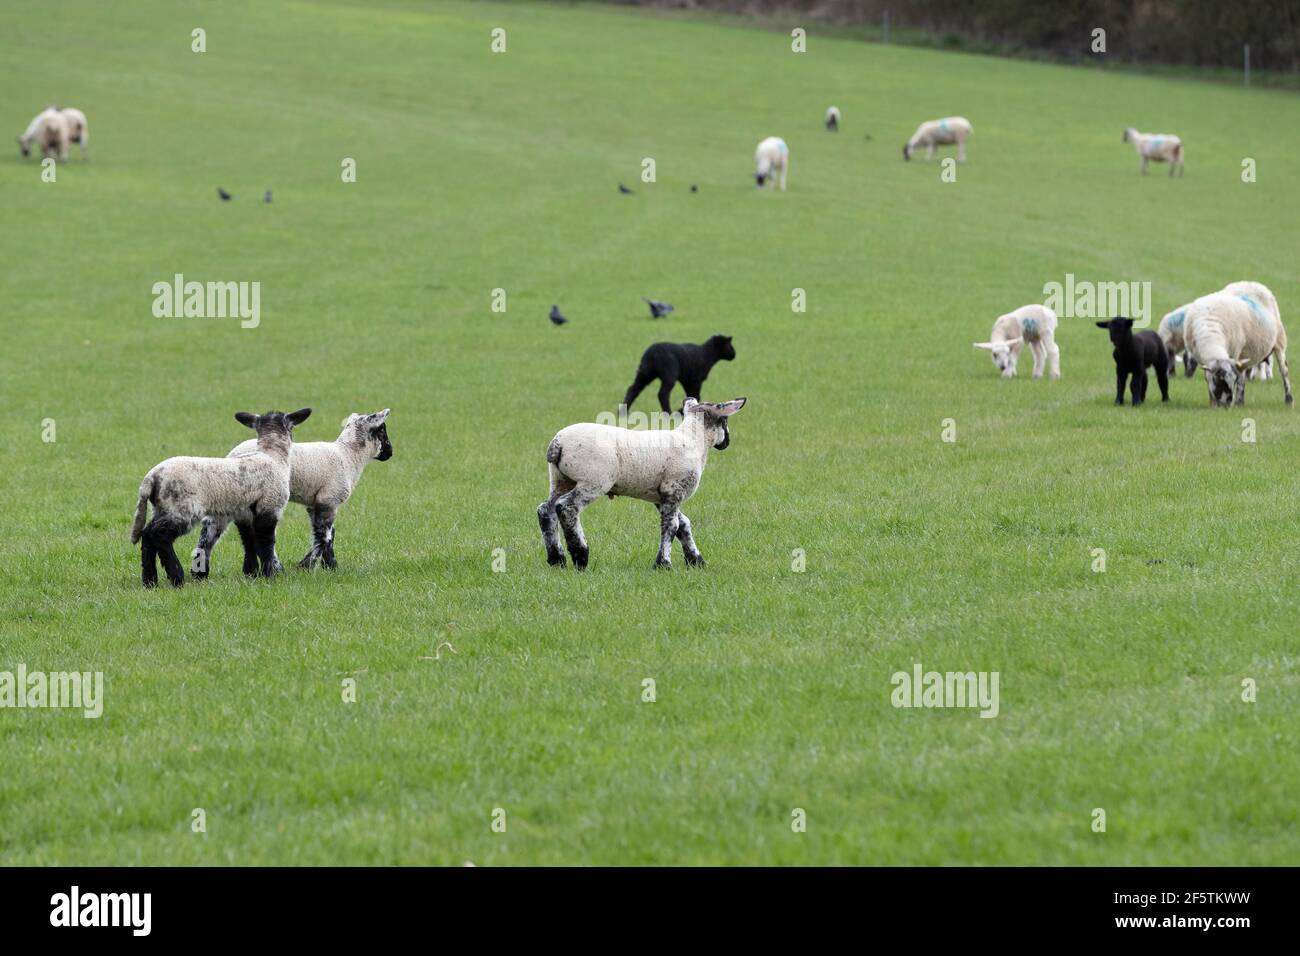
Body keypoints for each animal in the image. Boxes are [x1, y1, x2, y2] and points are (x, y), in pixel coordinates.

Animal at [130, 409, 311, 587]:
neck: (272, 455)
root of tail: (151, 477)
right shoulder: (269, 507)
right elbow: (266, 543)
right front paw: (269, 575)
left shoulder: (244, 513)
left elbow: (249, 541)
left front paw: (252, 572)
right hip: (181, 508)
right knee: (158, 535)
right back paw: (176, 577)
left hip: (162, 507)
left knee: (147, 535)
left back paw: (150, 581)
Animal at [195, 409, 392, 575]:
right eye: (382, 430)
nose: (390, 453)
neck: (348, 455)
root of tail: (231, 455)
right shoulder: (329, 498)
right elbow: (325, 535)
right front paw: (310, 565)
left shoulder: (314, 502)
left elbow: (323, 533)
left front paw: (327, 566)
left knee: (211, 528)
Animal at [538, 397, 746, 570]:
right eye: (724, 420)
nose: (727, 442)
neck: (693, 440)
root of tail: (557, 444)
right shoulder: (674, 489)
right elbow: (671, 526)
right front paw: (663, 564)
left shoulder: (661, 496)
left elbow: (683, 524)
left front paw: (696, 560)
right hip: (594, 480)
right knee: (566, 507)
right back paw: (580, 555)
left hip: (560, 479)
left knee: (546, 510)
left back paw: (557, 559)